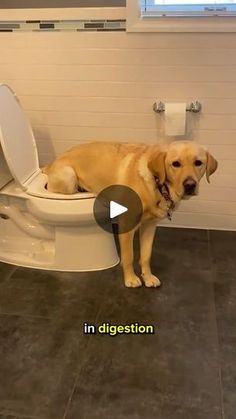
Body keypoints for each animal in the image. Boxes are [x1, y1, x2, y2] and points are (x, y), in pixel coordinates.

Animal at [42, 141, 218, 288]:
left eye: (198, 163)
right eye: (176, 164)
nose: (190, 185)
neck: (157, 185)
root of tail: (52, 163)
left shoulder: (149, 226)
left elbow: (146, 256)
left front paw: (148, 277)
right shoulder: (127, 224)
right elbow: (128, 257)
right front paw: (131, 279)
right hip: (68, 178)